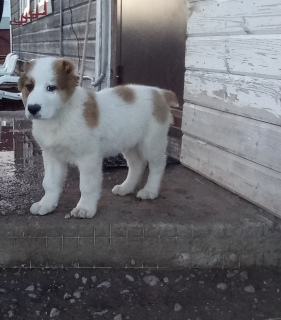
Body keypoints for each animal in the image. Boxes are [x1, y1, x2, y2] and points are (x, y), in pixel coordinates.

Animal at [18, 57, 177, 218]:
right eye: (29, 86)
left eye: (50, 88)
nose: (33, 108)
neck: (61, 116)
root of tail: (159, 93)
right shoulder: (52, 156)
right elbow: (50, 183)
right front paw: (46, 204)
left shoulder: (88, 157)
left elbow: (87, 185)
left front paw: (85, 207)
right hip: (130, 143)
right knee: (137, 164)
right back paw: (126, 188)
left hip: (152, 142)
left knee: (158, 165)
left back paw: (150, 190)